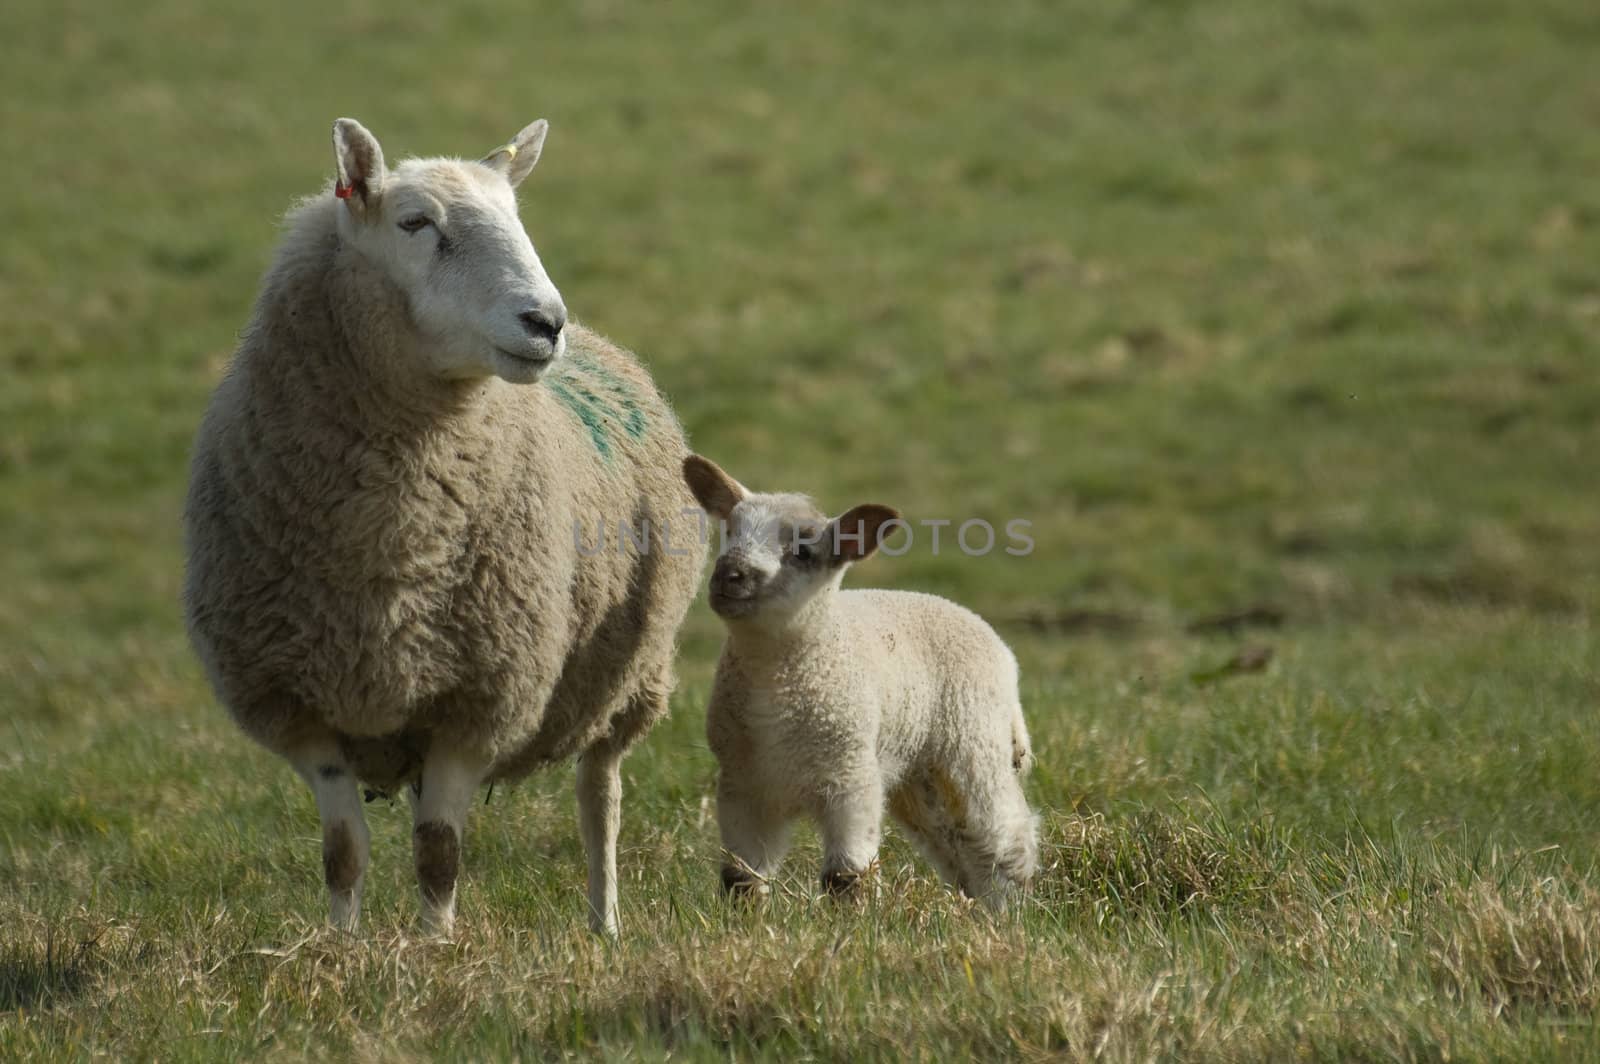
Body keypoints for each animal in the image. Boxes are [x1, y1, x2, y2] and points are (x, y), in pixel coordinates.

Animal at [184, 112, 704, 934]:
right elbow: (343, 852)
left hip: (627, 678)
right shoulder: (302, 705)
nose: (545, 322)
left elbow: (438, 852)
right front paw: (342, 948)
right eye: (415, 223)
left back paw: (604, 924)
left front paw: (434, 949)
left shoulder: (479, 696)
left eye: (517, 219)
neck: (388, 542)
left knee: (601, 799)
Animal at [678, 454, 1036, 902]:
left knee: (1006, 833)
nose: (730, 573)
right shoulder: (742, 784)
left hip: (972, 739)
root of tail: (1003, 653)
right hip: (917, 775)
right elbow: (741, 879)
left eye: (803, 551)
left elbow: (846, 876)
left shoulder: (849, 774)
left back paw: (1014, 907)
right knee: (956, 842)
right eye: (729, 531)